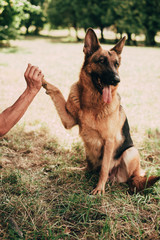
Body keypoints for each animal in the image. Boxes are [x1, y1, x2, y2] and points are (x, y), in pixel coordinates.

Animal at [42, 28, 159, 194]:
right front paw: (41, 80)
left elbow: (104, 168)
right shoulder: (68, 121)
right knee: (89, 168)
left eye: (116, 64)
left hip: (131, 152)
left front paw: (99, 189)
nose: (117, 80)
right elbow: (56, 91)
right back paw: (75, 170)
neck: (92, 103)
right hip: (88, 150)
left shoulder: (109, 141)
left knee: (129, 177)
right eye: (101, 61)